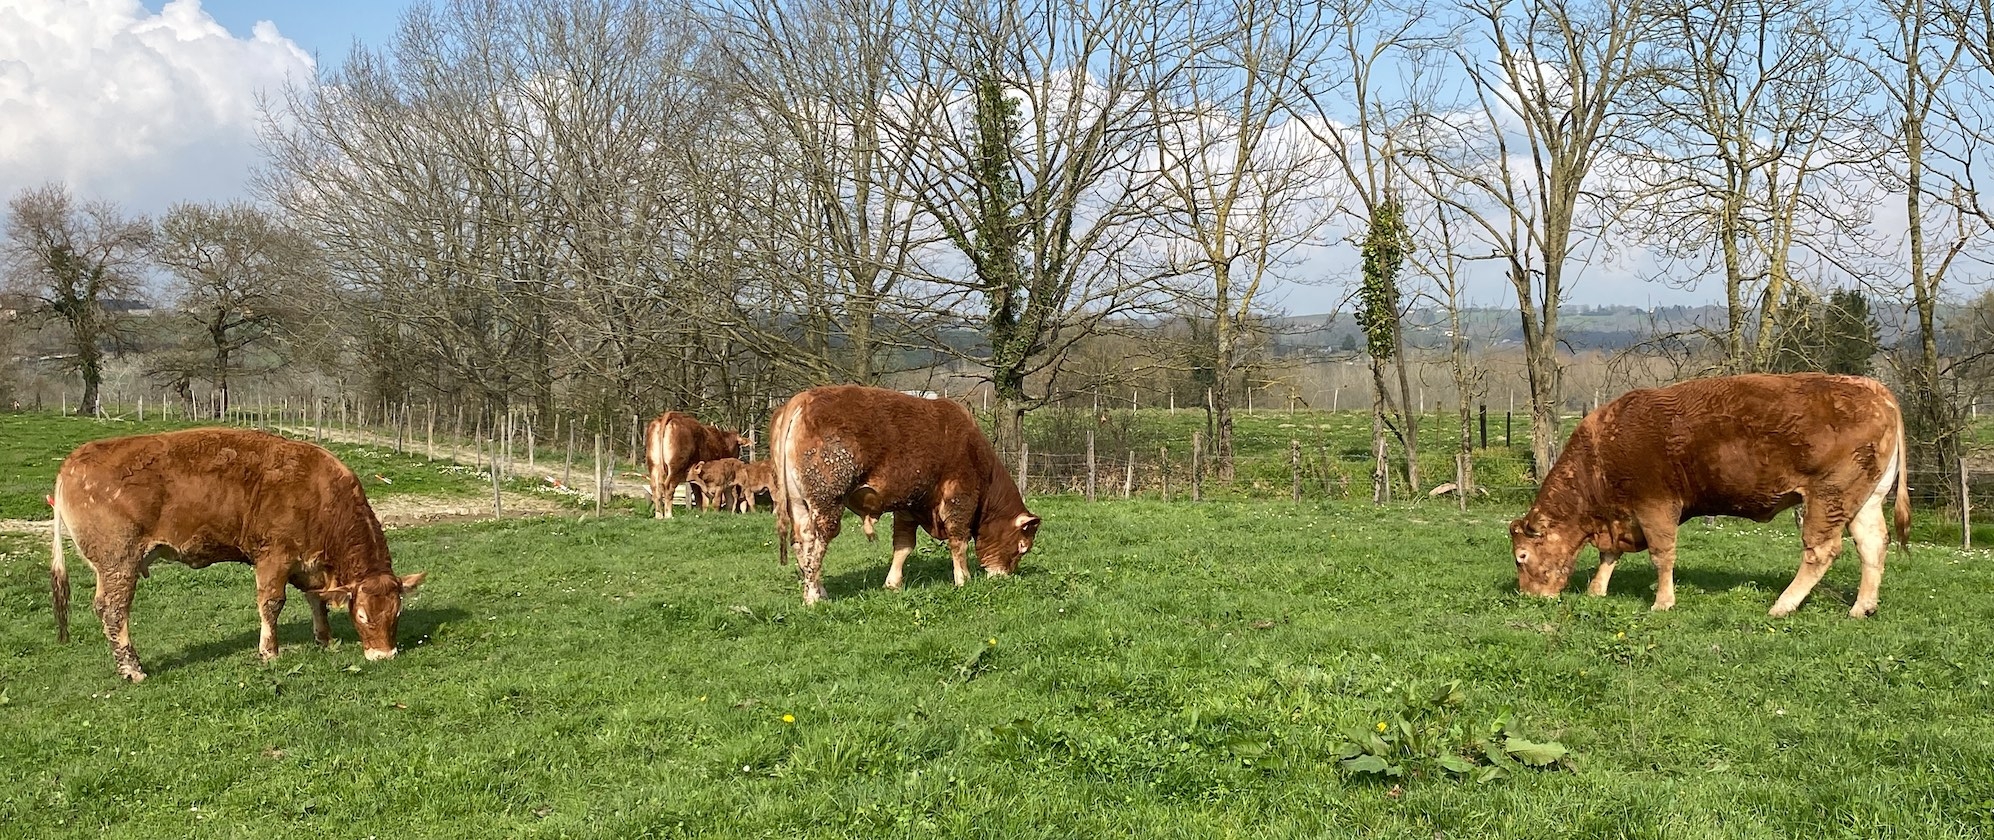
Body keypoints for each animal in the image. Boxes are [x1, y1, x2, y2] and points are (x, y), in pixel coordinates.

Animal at [50, 428, 428, 678]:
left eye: (397, 612)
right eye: (362, 615)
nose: (384, 656)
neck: (321, 495)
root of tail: (75, 459)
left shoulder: (309, 563)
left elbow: (316, 599)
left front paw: (326, 640)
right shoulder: (274, 557)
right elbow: (272, 604)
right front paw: (269, 652)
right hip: (118, 563)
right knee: (113, 611)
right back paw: (132, 669)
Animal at [765, 383, 1044, 606]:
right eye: (1022, 547)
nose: (1005, 576)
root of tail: (803, 399)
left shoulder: (908, 504)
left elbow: (903, 545)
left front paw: (893, 584)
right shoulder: (959, 496)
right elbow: (959, 541)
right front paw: (963, 579)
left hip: (798, 503)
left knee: (802, 543)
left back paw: (818, 591)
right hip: (827, 500)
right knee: (816, 544)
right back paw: (813, 597)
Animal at [1507, 373, 1914, 614]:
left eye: (1521, 557)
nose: (1526, 595)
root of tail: (1874, 389)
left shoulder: (1655, 506)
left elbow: (1662, 555)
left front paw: (1662, 602)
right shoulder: (1620, 517)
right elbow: (1609, 555)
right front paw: (1596, 590)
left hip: (1828, 497)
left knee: (1822, 551)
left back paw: (1783, 605)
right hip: (1864, 500)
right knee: (1873, 544)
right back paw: (1862, 608)